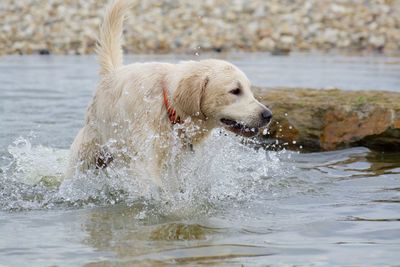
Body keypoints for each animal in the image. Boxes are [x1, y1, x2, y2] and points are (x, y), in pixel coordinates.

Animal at [66, 0, 272, 185]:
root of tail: (112, 73)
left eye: (249, 89)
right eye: (235, 91)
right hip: (87, 151)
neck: (169, 108)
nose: (267, 115)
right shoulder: (145, 159)